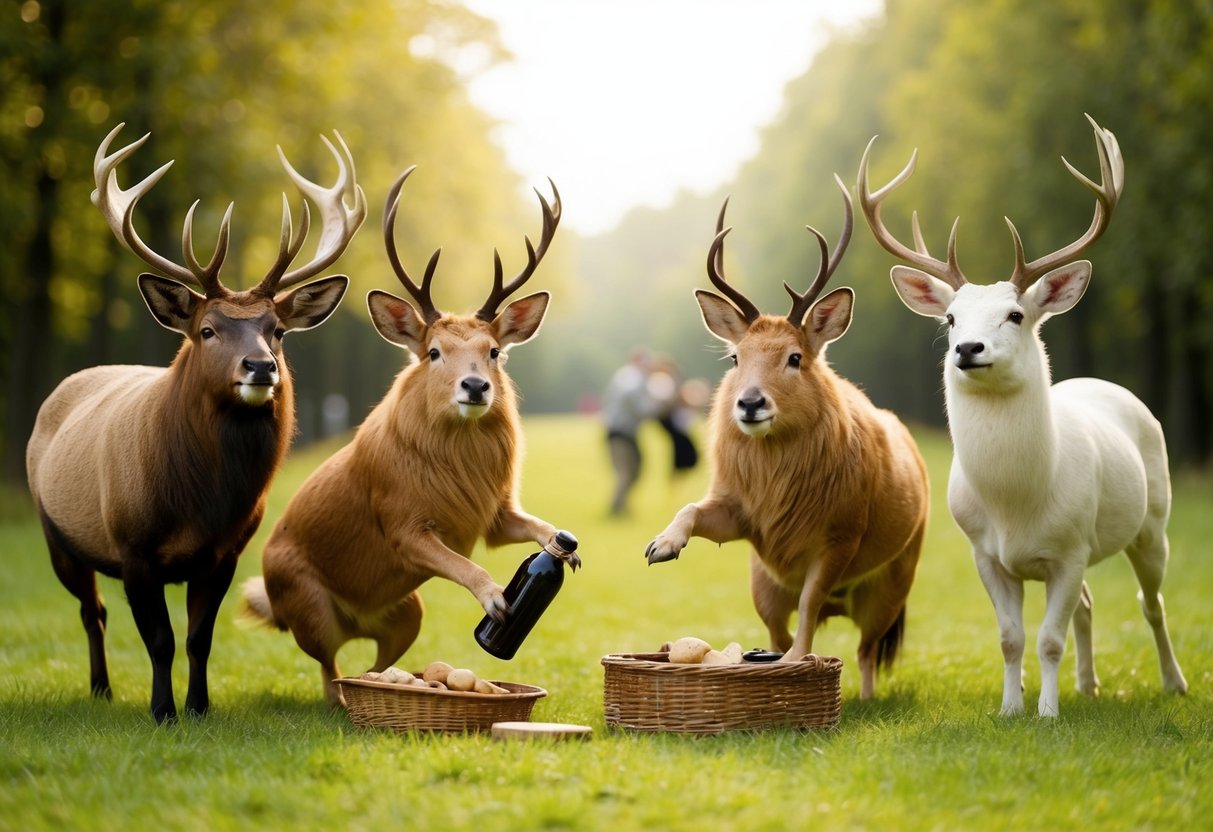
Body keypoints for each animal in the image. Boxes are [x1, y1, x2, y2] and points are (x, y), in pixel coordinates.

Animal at [25, 123, 363, 723]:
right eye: (208, 329)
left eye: (278, 330)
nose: (260, 366)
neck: (200, 504)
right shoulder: (133, 545)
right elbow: (158, 639)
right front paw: (162, 711)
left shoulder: (225, 552)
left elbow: (199, 638)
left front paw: (200, 707)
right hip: (57, 533)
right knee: (92, 611)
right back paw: (100, 689)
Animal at [242, 167, 575, 707]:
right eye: (434, 352)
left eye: (494, 351)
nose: (475, 386)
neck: (460, 470)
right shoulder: (400, 519)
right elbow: (464, 566)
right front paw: (496, 601)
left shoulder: (494, 514)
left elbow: (532, 526)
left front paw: (563, 547)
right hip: (308, 607)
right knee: (329, 669)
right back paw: (340, 700)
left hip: (409, 613)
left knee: (376, 664)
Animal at [644, 175, 930, 699]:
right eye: (735, 357)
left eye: (795, 357)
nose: (750, 403)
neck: (777, 482)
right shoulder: (743, 515)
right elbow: (692, 507)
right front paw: (662, 546)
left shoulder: (840, 535)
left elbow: (810, 608)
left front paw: (802, 666)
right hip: (763, 585)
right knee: (778, 632)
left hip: (892, 583)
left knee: (866, 650)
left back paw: (865, 698)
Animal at [858, 114, 1189, 716]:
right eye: (950, 317)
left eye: (1015, 314)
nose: (967, 348)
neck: (1017, 502)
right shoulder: (984, 551)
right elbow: (1012, 637)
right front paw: (1012, 708)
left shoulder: (1072, 547)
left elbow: (1048, 638)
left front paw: (1048, 714)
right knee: (1088, 605)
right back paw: (1089, 684)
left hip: (1155, 520)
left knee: (1150, 602)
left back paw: (1174, 682)